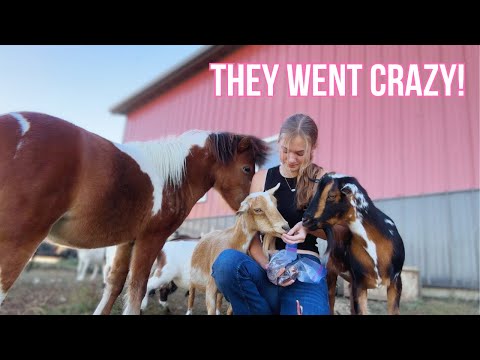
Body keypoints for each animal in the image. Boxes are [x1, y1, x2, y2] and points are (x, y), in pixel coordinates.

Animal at [0, 111, 270, 314]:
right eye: (247, 169)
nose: (251, 203)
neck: (173, 177)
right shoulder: (150, 239)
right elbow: (138, 289)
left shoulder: (126, 242)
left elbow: (114, 287)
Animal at [189, 183, 290, 316]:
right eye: (257, 209)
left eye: (275, 203)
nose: (286, 227)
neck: (232, 241)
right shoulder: (210, 288)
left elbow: (230, 310)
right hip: (192, 281)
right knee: (191, 298)